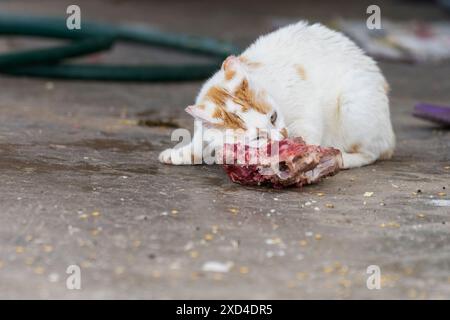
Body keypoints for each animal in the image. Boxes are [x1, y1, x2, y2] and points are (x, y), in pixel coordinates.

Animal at [158, 21, 394, 169]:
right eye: (257, 138)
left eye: (273, 117)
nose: (282, 136)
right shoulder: (203, 126)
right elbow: (199, 142)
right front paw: (180, 153)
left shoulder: (306, 106)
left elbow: (308, 132)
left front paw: (302, 157)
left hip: (353, 104)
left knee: (370, 154)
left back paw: (341, 158)